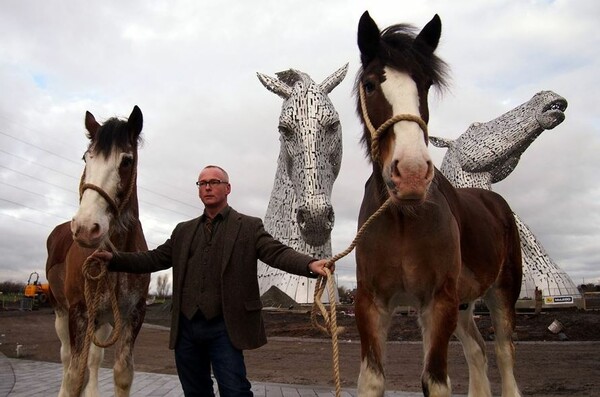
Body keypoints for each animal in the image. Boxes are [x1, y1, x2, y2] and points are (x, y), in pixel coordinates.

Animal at [46, 106, 150, 396]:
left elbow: (121, 373)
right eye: (86, 158)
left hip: (101, 320)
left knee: (93, 360)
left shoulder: (132, 316)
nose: (85, 227)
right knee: (66, 358)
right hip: (61, 311)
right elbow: (74, 377)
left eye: (126, 161)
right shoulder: (79, 313)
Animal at [354, 12, 524, 396]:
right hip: (463, 305)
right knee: (478, 351)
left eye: (426, 84)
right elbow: (372, 378)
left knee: (504, 353)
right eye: (370, 85)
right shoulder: (372, 302)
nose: (412, 174)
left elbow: (435, 381)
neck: (403, 219)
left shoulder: (438, 301)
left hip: (503, 292)